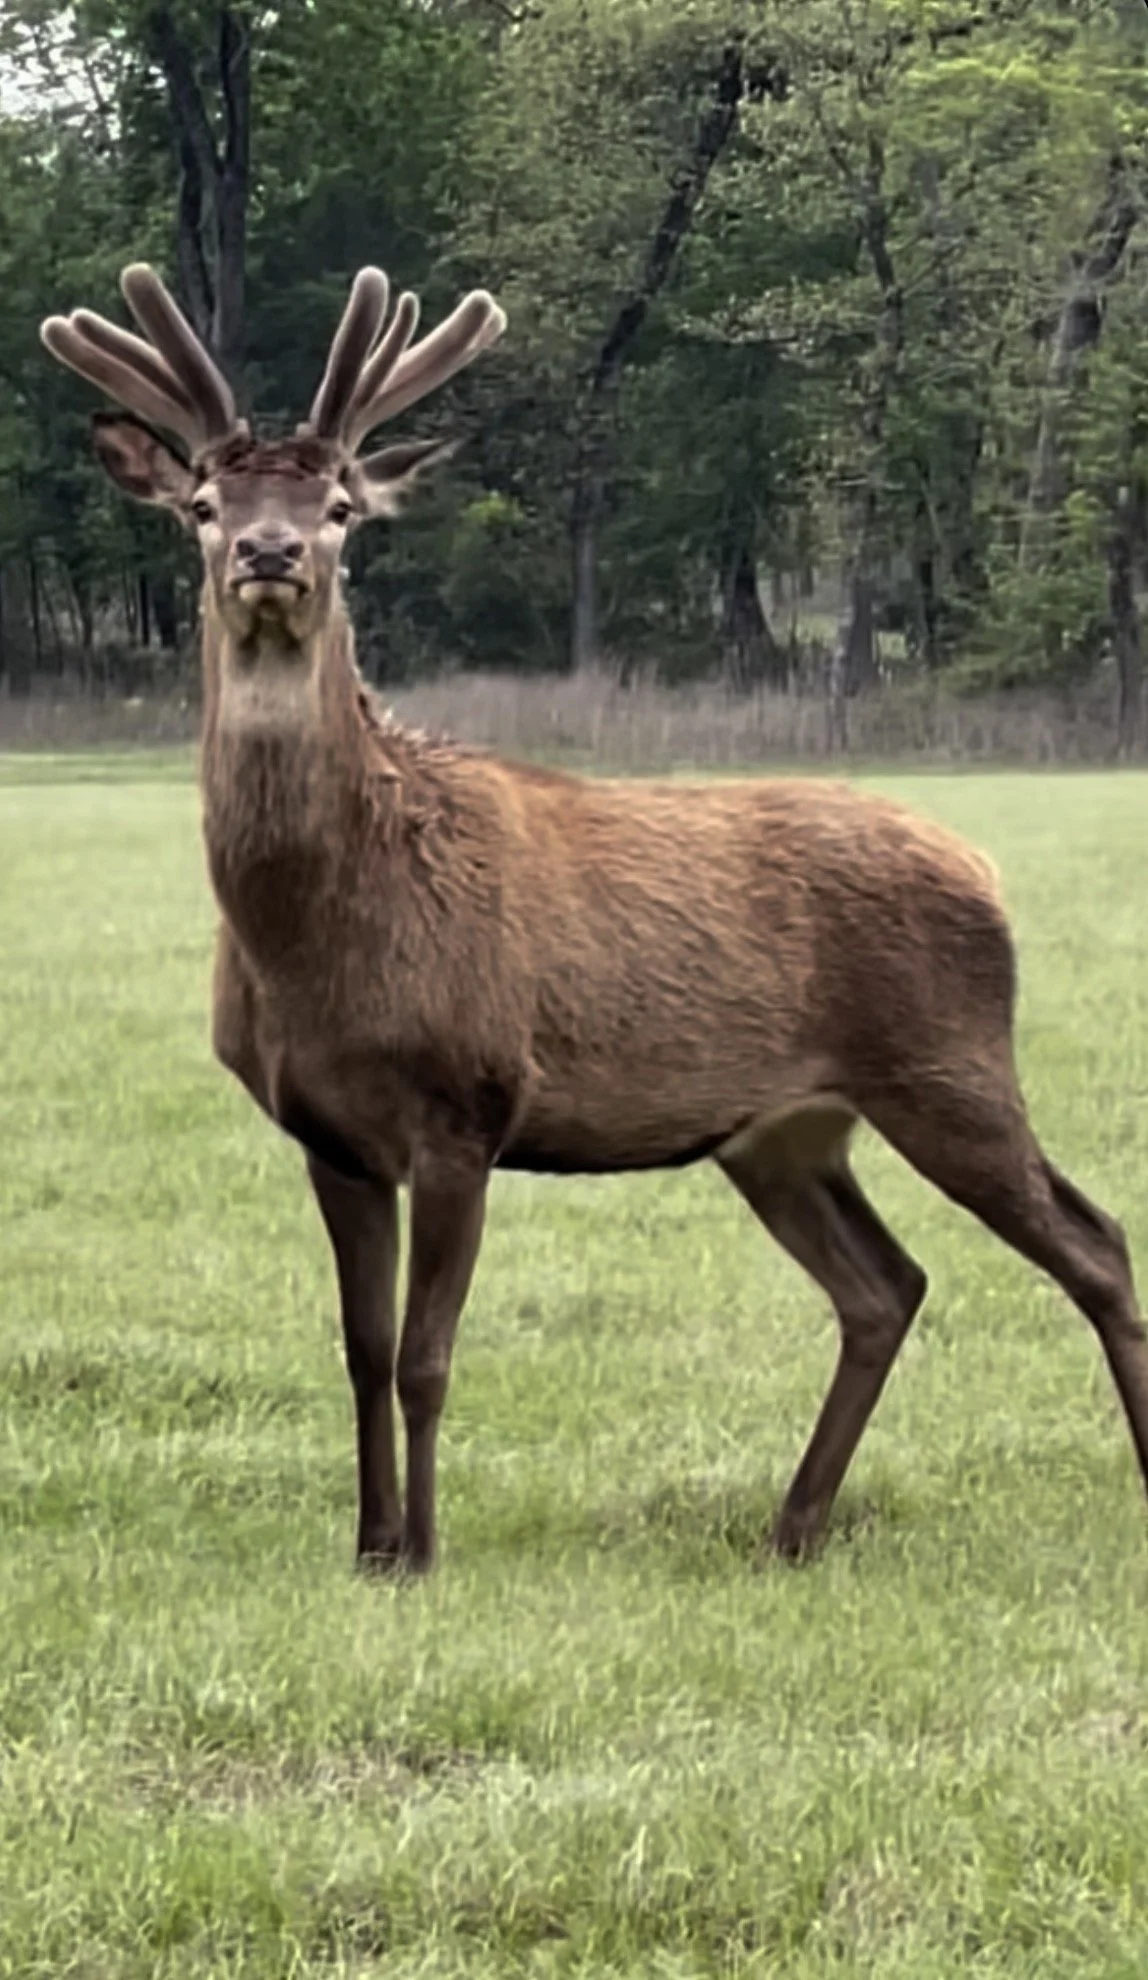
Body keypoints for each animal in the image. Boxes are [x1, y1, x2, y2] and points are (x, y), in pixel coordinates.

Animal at [41, 262, 1148, 1577]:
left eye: (342, 505)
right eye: (204, 503)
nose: (270, 551)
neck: (321, 940)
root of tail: (983, 867)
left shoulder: (466, 1101)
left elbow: (425, 1358)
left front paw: (424, 1553)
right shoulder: (327, 1134)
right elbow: (359, 1352)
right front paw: (367, 1547)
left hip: (948, 1063)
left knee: (1094, 1241)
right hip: (782, 1132)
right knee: (884, 1285)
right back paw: (789, 1527)